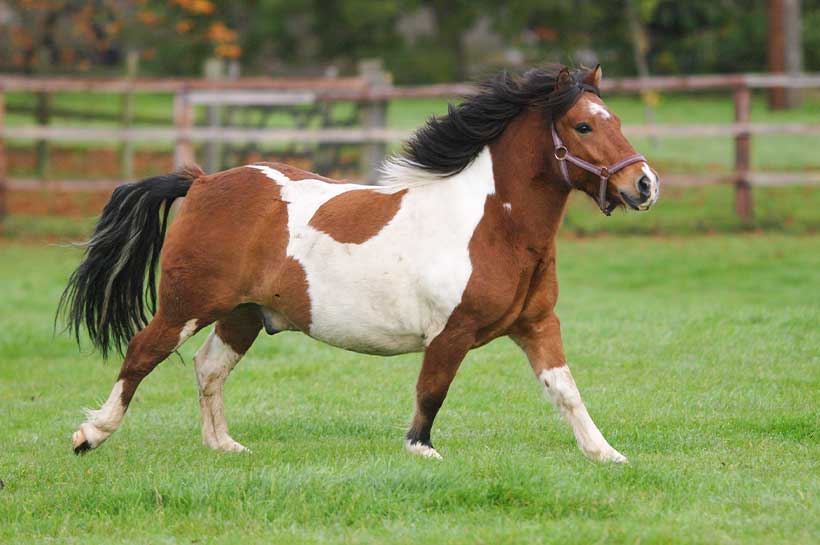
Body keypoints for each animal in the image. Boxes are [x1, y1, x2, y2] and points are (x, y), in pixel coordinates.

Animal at [59, 65, 660, 464]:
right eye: (583, 127)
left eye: (615, 119)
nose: (645, 184)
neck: (493, 225)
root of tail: (204, 181)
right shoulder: (452, 332)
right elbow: (431, 392)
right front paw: (421, 451)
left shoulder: (537, 325)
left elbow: (565, 389)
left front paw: (606, 454)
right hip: (187, 304)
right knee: (142, 353)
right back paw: (91, 435)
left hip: (242, 314)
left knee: (209, 368)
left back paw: (224, 445)